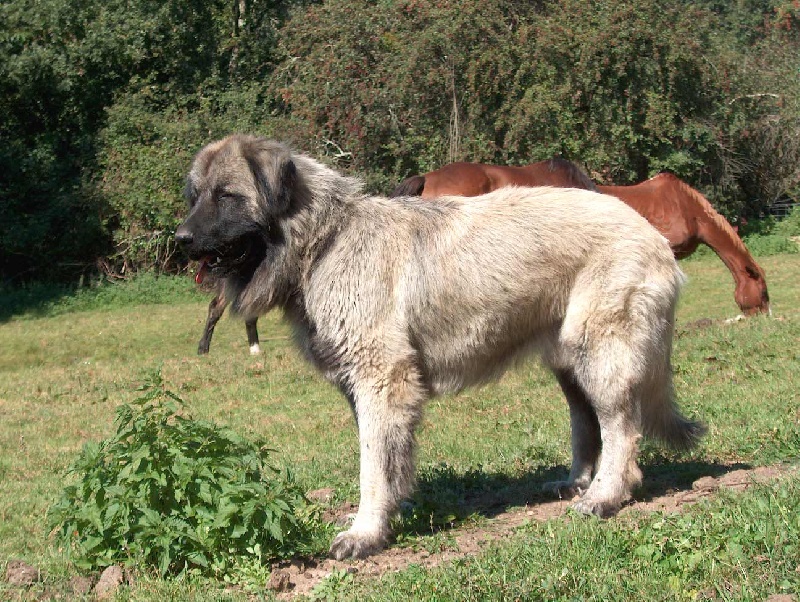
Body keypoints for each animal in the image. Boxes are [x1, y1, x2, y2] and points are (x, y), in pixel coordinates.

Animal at [177, 135, 708, 556]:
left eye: (227, 196)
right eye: (196, 196)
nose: (180, 238)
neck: (325, 241)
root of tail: (650, 233)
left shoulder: (381, 379)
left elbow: (372, 464)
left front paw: (364, 532)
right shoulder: (367, 388)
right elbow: (389, 459)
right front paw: (387, 515)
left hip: (601, 348)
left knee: (621, 426)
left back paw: (604, 495)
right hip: (569, 357)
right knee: (586, 420)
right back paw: (577, 481)